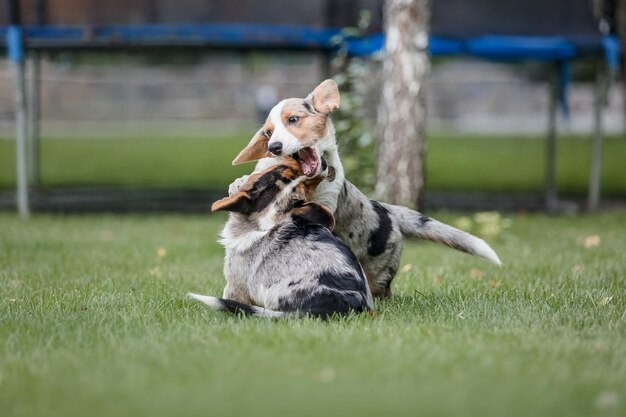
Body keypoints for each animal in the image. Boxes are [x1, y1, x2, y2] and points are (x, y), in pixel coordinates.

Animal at [227, 79, 500, 298]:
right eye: (268, 132)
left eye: (293, 119)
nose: (273, 147)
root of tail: (388, 210)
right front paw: (239, 184)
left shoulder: (326, 205)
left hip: (379, 273)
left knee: (383, 290)